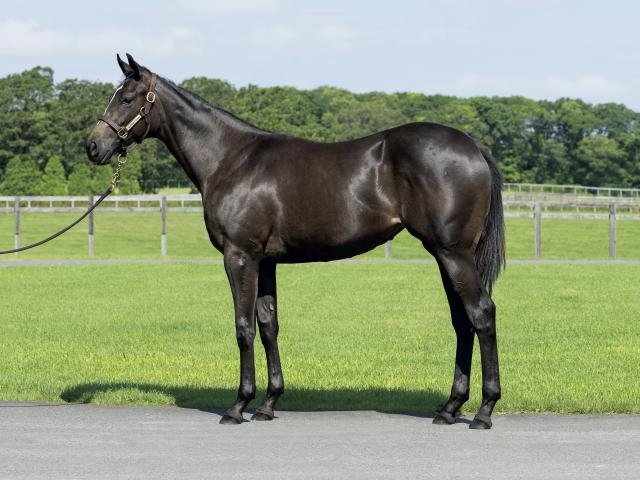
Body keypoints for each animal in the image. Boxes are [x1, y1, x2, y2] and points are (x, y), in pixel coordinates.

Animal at [86, 54, 505, 429]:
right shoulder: (265, 261)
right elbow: (268, 325)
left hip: (453, 254)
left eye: (127, 98)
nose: (93, 147)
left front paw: (238, 406)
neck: (231, 160)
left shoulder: (240, 257)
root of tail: (474, 149)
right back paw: (449, 409)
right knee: (463, 321)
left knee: (482, 314)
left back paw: (484, 412)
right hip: (444, 255)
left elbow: (243, 327)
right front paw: (268, 403)